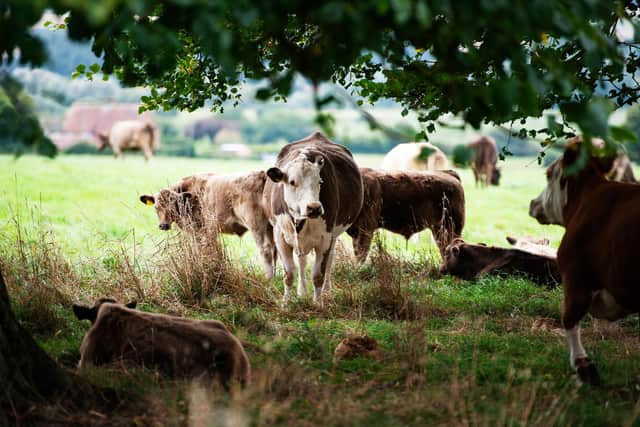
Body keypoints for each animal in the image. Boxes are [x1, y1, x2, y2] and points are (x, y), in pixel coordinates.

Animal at [139, 171, 277, 279]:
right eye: (156, 207)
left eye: (173, 206)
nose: (163, 225)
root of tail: (261, 174)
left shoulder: (202, 230)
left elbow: (204, 250)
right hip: (270, 227)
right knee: (274, 249)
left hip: (256, 225)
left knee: (265, 249)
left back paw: (268, 279)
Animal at [263, 131, 364, 306]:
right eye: (292, 182)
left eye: (320, 181)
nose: (314, 208)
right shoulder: (280, 237)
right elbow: (289, 274)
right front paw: (286, 302)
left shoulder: (325, 238)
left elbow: (318, 275)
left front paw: (318, 303)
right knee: (302, 262)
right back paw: (302, 291)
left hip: (333, 236)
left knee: (329, 262)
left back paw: (327, 292)